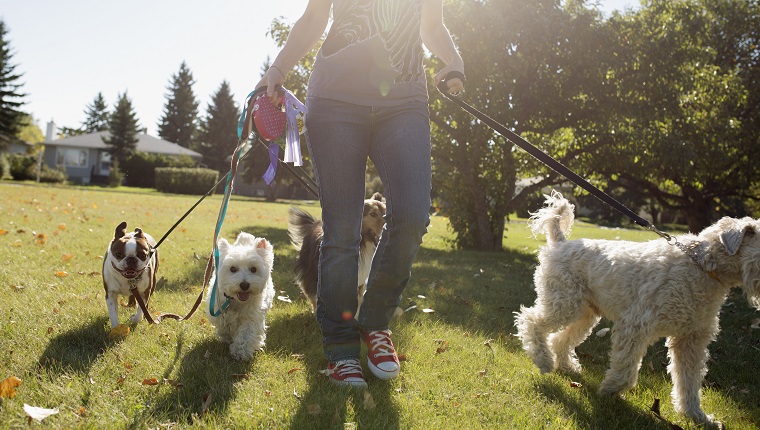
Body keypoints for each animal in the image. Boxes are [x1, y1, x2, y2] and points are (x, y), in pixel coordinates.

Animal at [206, 232, 274, 360]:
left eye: (253, 269)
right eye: (232, 268)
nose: (244, 285)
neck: (236, 301)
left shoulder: (251, 317)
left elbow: (246, 334)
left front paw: (240, 352)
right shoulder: (219, 312)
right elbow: (223, 327)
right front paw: (227, 338)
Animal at [516, 191, 760, 426]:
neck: (703, 265)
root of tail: (561, 242)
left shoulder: (690, 340)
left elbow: (689, 382)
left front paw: (697, 416)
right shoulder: (635, 325)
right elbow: (626, 368)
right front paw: (610, 391)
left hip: (585, 314)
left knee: (559, 339)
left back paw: (567, 366)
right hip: (564, 304)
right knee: (530, 321)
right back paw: (544, 361)